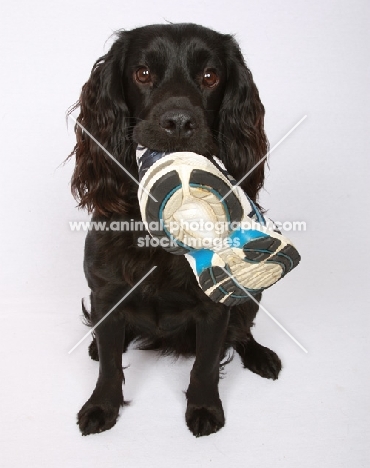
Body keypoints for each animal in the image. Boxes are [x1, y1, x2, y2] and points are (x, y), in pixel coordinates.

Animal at [68, 23, 280, 436]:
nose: (179, 122)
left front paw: (204, 408)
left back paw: (260, 355)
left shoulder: (216, 303)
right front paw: (102, 405)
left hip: (251, 291)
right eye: (143, 73)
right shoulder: (105, 291)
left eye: (210, 76)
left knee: (243, 331)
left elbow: (206, 363)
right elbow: (110, 366)